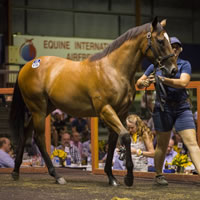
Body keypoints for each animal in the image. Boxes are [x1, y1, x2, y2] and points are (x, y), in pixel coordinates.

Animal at [9, 16, 177, 186]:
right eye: (160, 41)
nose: (173, 70)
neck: (113, 70)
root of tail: (27, 67)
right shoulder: (105, 110)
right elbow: (125, 136)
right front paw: (129, 177)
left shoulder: (121, 112)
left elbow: (113, 140)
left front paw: (111, 176)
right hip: (38, 108)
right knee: (39, 138)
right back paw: (56, 175)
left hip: (45, 108)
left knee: (26, 131)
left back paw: (16, 171)